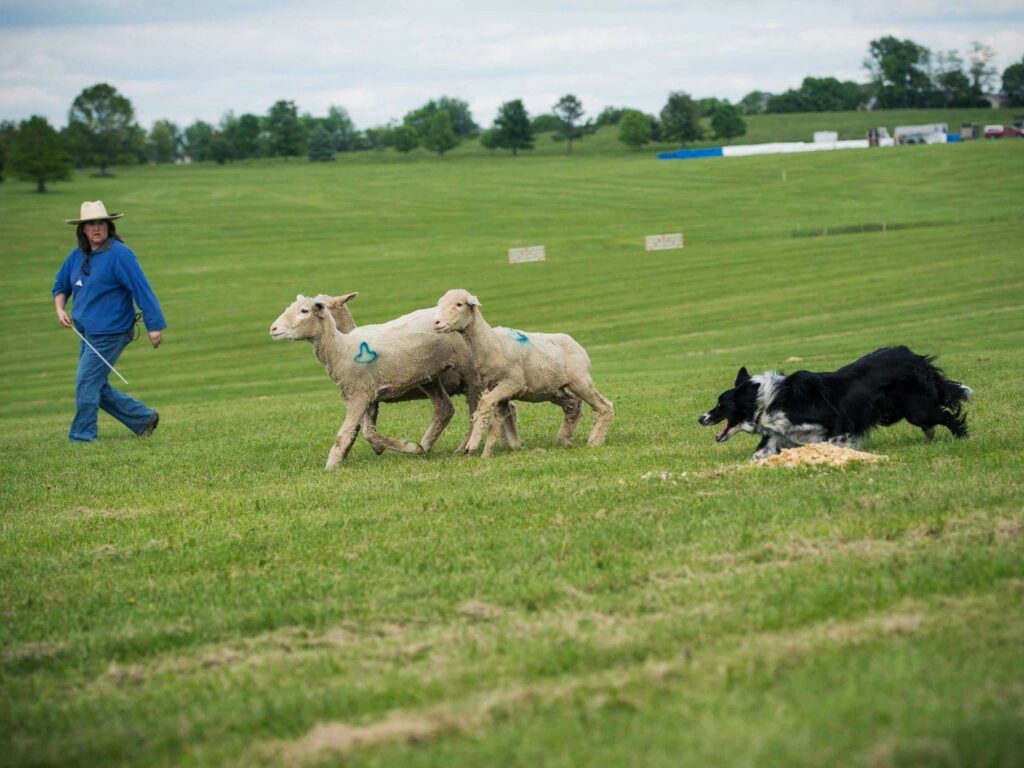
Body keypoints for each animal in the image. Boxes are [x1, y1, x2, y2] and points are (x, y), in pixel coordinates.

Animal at [430, 288, 610, 456]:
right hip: (554, 389)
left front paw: (472, 445)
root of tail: (577, 344)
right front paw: (486, 454)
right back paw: (564, 439)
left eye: (459, 304)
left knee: (604, 406)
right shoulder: (497, 389)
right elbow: (496, 422)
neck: (491, 343)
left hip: (580, 381)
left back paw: (594, 441)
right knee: (574, 405)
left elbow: (484, 404)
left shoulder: (514, 382)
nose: (436, 322)